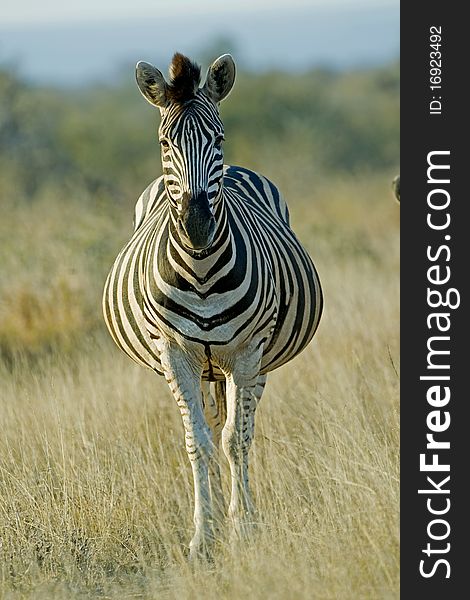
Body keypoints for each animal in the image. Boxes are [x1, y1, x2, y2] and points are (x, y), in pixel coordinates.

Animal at [103, 54, 324, 560]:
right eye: (165, 142)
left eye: (218, 139)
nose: (198, 224)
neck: (202, 269)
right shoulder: (174, 354)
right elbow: (199, 443)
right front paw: (204, 537)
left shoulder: (246, 352)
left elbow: (234, 442)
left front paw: (243, 528)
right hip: (205, 368)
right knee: (211, 426)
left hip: (254, 364)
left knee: (241, 429)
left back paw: (242, 511)